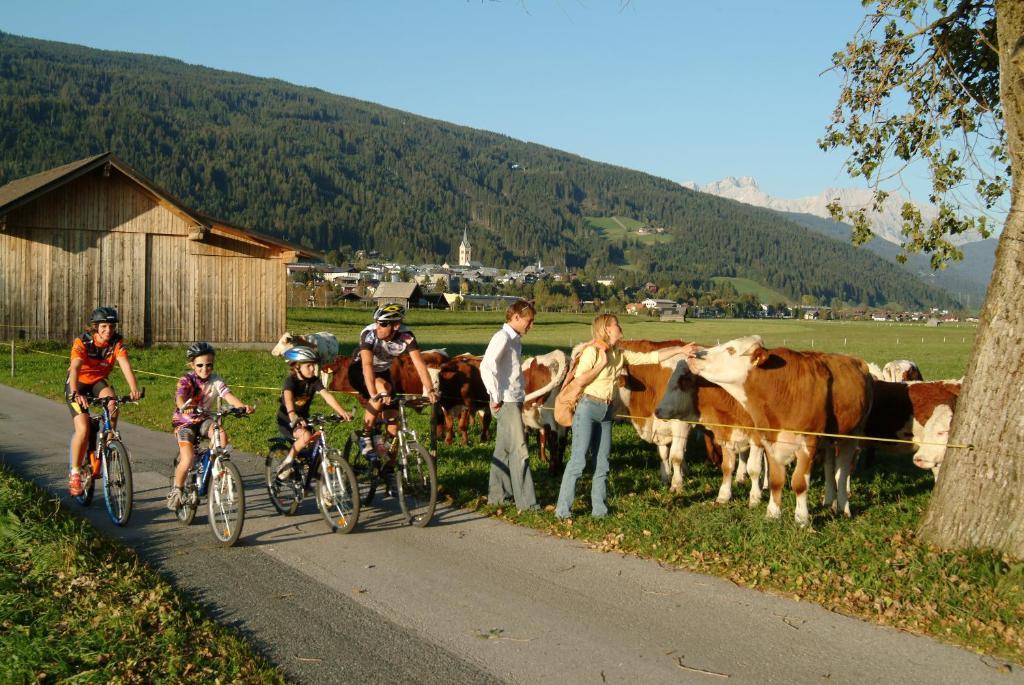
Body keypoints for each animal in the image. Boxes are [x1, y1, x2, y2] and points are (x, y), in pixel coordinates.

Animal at [659, 360, 765, 505]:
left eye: (678, 385)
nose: (657, 411)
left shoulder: (757, 438)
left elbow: (754, 469)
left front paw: (754, 498)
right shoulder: (727, 436)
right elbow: (727, 466)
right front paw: (723, 495)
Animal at [688, 335, 872, 524]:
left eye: (731, 350)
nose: (693, 354)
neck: (782, 391)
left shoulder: (808, 442)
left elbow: (800, 483)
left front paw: (802, 518)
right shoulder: (770, 440)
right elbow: (775, 480)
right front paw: (772, 513)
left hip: (852, 435)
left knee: (841, 472)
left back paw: (843, 507)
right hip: (828, 439)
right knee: (829, 467)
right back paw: (829, 501)